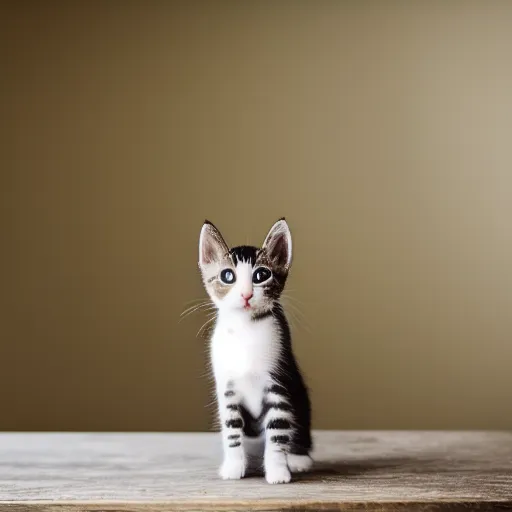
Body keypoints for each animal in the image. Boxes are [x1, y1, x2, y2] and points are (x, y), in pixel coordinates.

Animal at [199, 216, 312, 484]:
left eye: (262, 274)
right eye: (227, 275)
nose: (246, 294)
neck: (246, 329)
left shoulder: (279, 383)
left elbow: (278, 430)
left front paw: (279, 471)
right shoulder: (227, 389)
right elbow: (231, 429)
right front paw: (233, 466)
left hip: (300, 394)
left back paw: (298, 458)